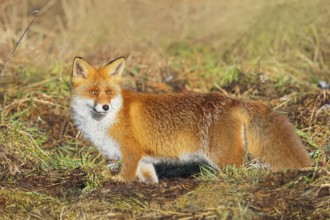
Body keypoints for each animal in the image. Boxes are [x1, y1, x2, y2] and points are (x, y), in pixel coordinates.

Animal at [71, 56, 310, 182]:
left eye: (109, 92)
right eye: (93, 92)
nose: (105, 106)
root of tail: (233, 100)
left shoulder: (131, 152)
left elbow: (125, 177)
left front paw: (115, 182)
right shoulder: (145, 161)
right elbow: (151, 180)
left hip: (223, 159)